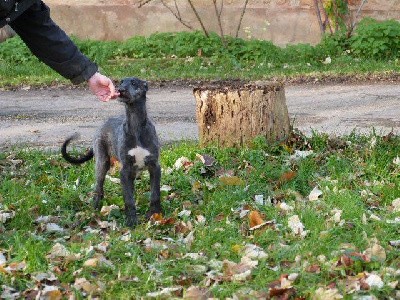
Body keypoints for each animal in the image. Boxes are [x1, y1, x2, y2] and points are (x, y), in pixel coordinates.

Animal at [61, 76, 162, 226]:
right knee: (98, 188)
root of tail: (103, 124)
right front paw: (131, 220)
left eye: (134, 83)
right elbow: (128, 199)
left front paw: (155, 214)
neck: (136, 127)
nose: (120, 90)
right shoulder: (125, 170)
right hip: (102, 162)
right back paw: (94, 209)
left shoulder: (154, 166)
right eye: (121, 82)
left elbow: (155, 193)